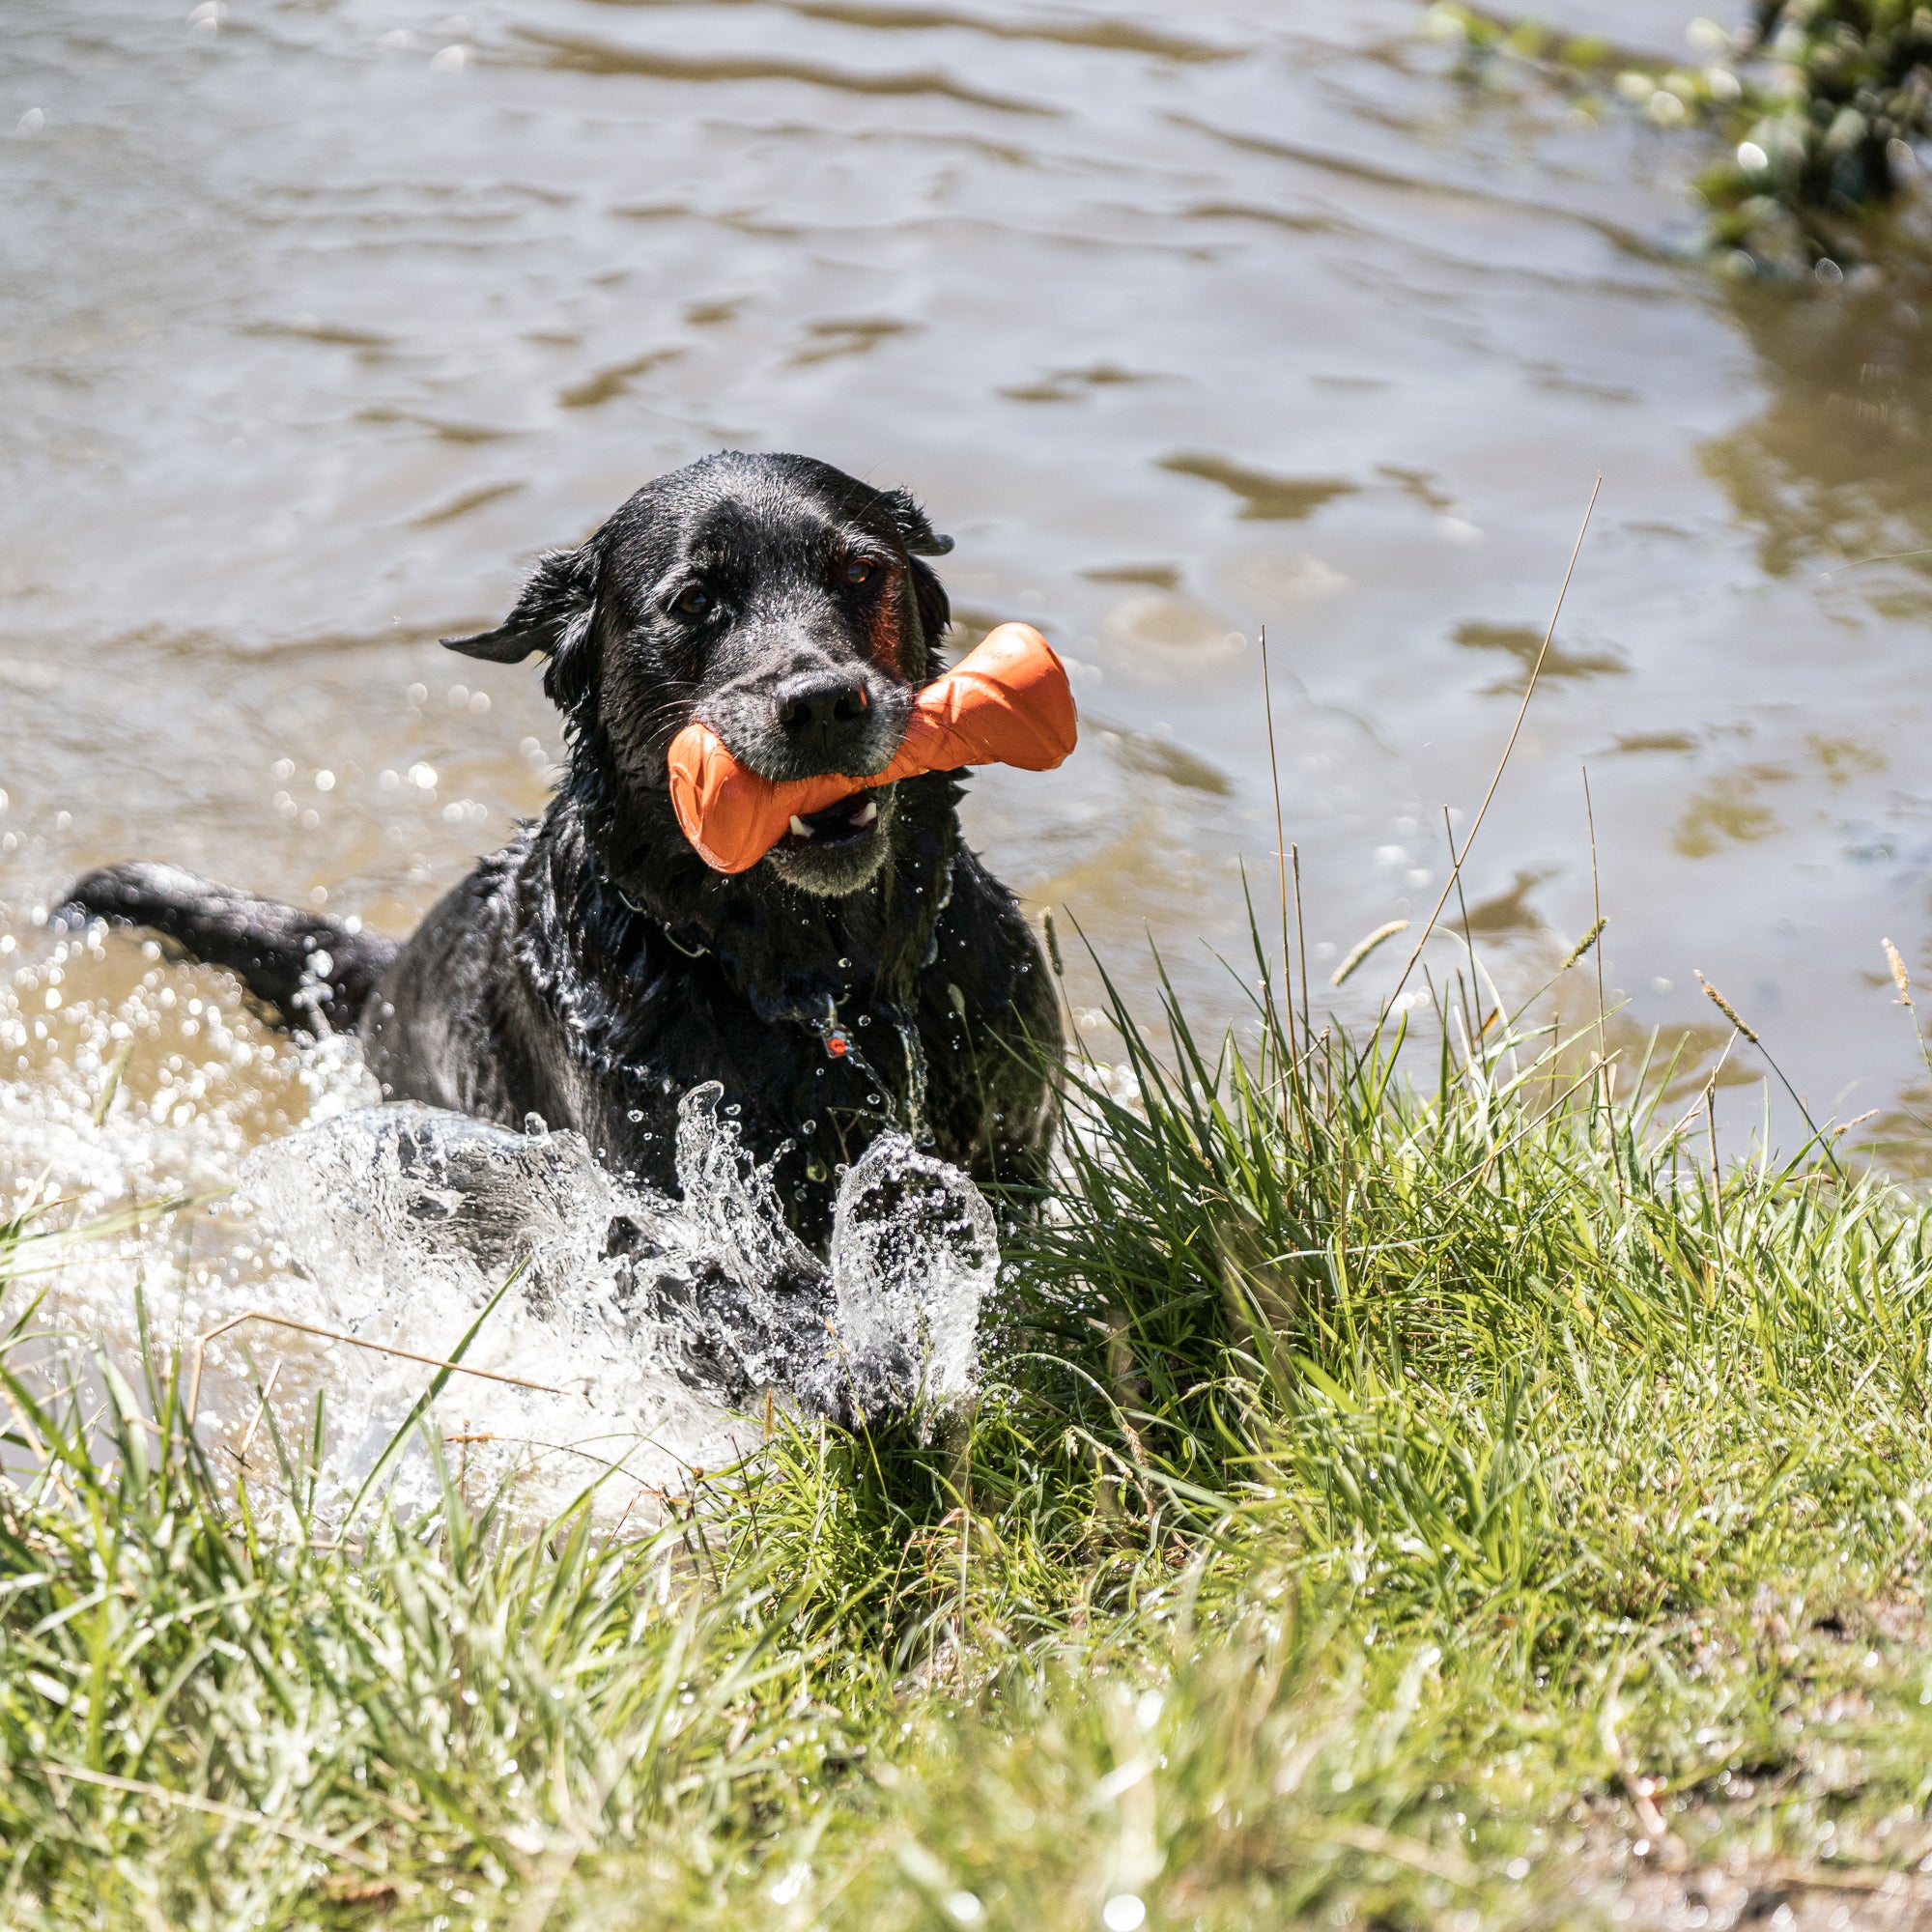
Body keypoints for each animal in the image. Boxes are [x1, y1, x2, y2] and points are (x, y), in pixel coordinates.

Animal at [60, 448, 1066, 1252]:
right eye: (694, 600)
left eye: (860, 569)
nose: (821, 701)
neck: (825, 984)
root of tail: (389, 970)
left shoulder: (1010, 1142)